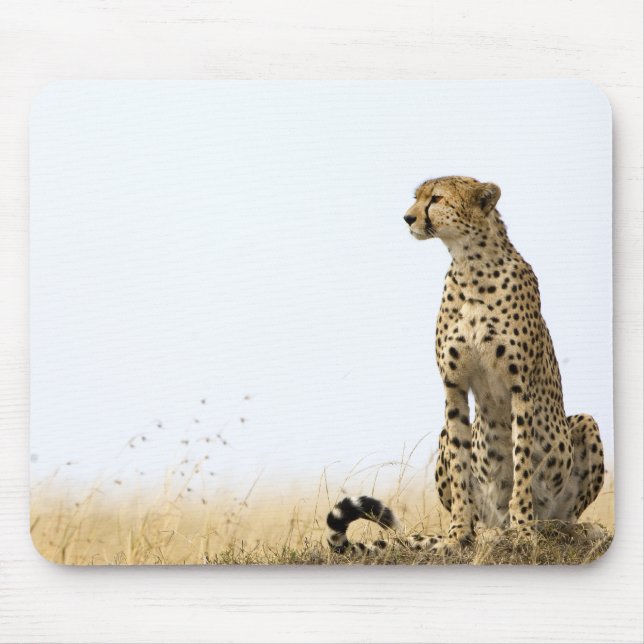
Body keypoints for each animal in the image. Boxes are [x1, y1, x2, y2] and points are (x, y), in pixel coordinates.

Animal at [326, 176, 605, 556]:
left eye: (436, 198)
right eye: (416, 197)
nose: (407, 218)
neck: (471, 265)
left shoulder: (521, 389)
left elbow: (522, 463)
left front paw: (522, 528)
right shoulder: (453, 387)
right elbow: (461, 464)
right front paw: (459, 533)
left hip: (584, 426)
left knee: (563, 519)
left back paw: (564, 529)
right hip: (451, 445)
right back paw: (486, 533)